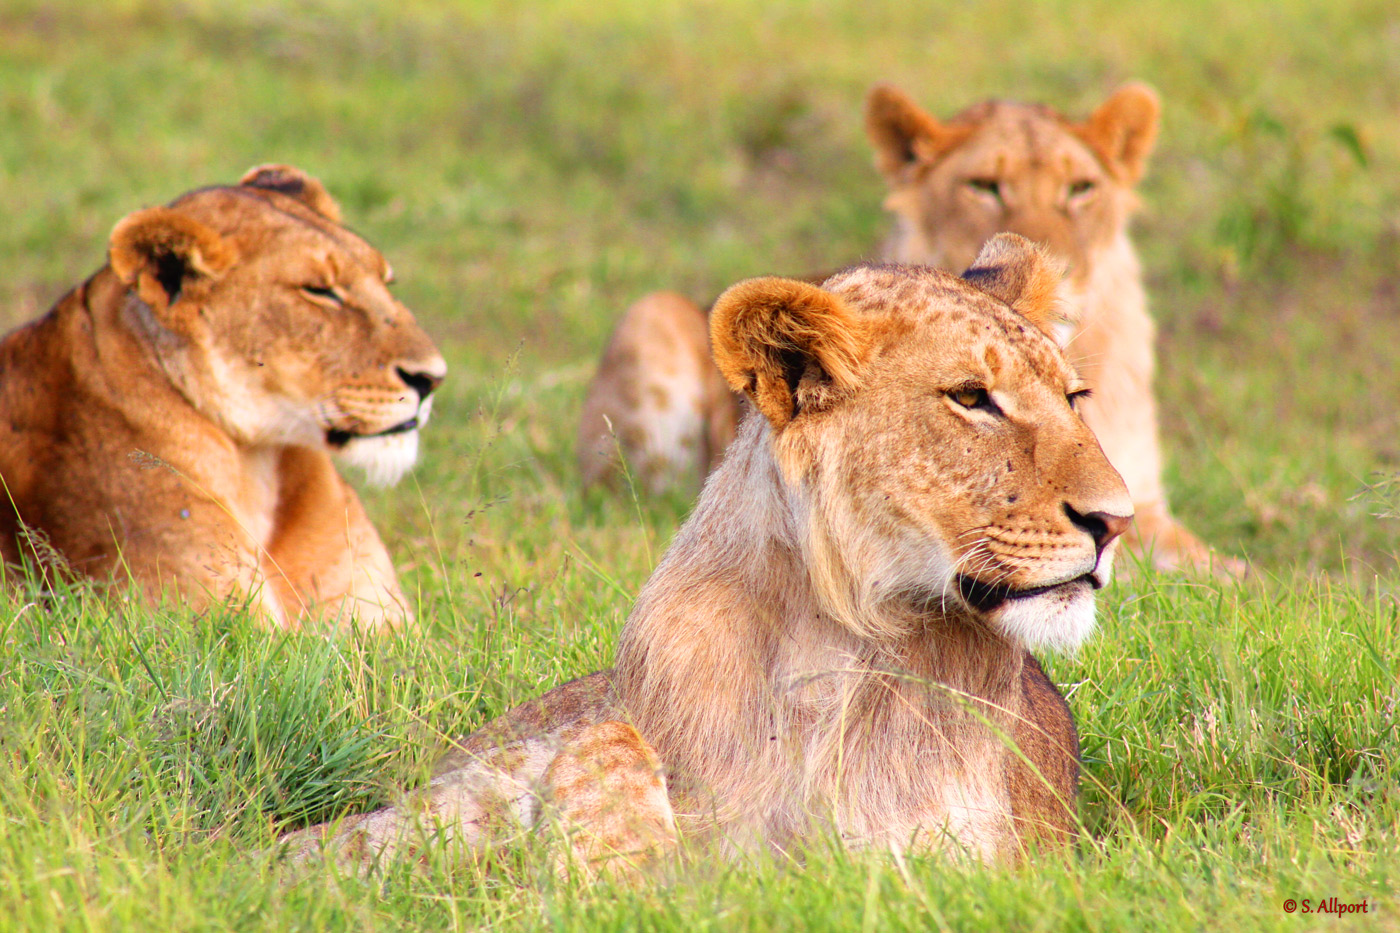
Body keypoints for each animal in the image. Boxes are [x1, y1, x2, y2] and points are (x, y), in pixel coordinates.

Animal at [0, 165, 447, 630]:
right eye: (319, 291)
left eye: (386, 281)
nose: (431, 379)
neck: (260, 465)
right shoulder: (199, 618)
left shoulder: (380, 621)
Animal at [578, 83, 1242, 576]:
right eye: (984, 186)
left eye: (1081, 189)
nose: (1058, 266)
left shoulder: (1142, 496)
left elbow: (1201, 555)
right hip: (651, 317)